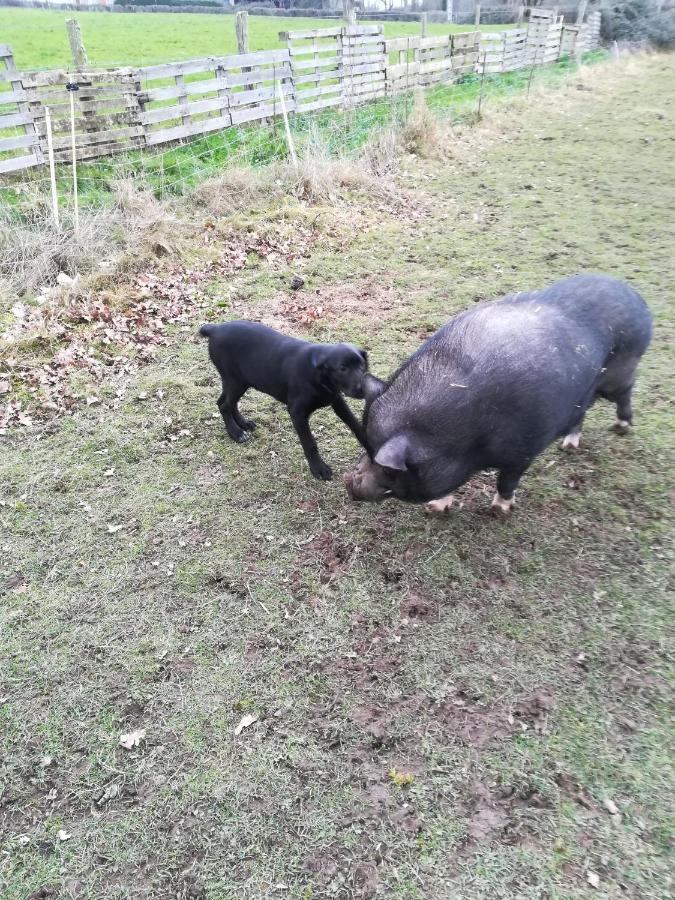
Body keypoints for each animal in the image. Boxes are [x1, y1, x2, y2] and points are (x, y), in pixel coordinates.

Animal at [199, 320, 370, 482]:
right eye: (342, 369)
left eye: (362, 365)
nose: (363, 388)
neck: (318, 374)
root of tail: (215, 328)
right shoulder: (297, 413)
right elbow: (310, 443)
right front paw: (319, 468)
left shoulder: (336, 399)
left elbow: (354, 423)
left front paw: (369, 444)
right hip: (235, 380)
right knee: (224, 405)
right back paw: (236, 432)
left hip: (241, 380)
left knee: (228, 402)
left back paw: (243, 424)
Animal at [346, 272, 652, 512]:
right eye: (365, 448)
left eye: (388, 470)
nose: (349, 482)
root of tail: (636, 297)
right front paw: (435, 509)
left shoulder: (525, 449)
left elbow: (508, 480)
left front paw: (499, 510)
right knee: (581, 413)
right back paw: (568, 445)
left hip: (620, 371)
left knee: (624, 393)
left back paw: (622, 426)